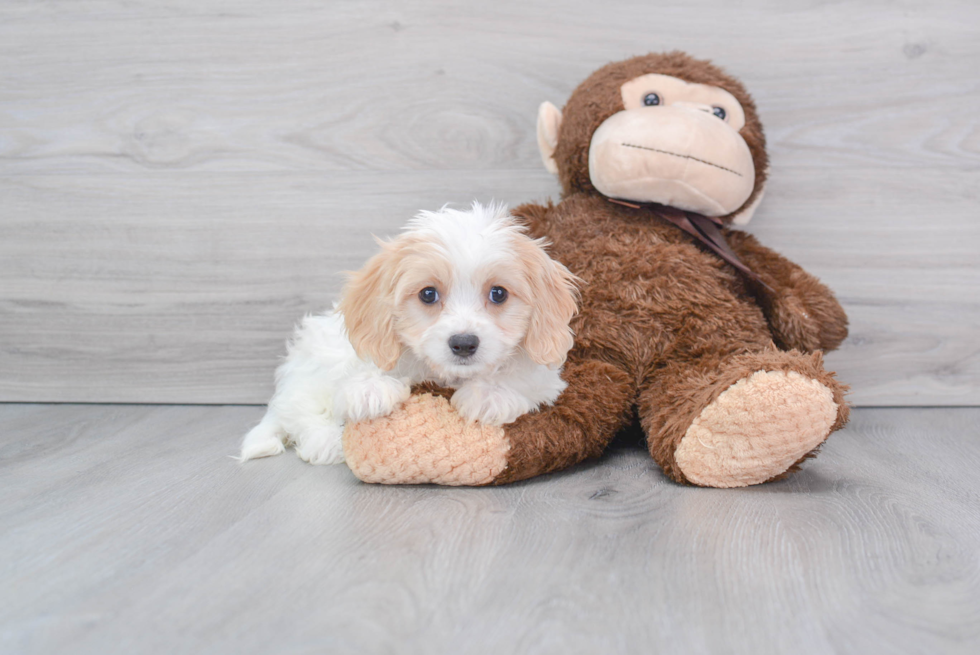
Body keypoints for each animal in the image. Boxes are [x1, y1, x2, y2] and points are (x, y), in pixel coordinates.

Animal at [238, 204, 580, 466]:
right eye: (428, 294)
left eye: (498, 294)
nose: (464, 343)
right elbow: (363, 365)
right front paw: (370, 389)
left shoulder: (546, 380)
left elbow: (523, 377)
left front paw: (490, 395)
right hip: (311, 364)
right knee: (300, 409)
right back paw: (327, 441)